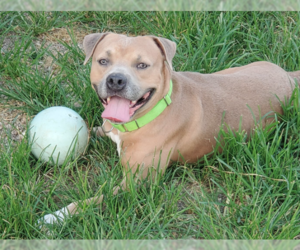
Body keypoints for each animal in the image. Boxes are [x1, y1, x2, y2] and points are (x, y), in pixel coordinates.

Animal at [40, 32, 300, 224]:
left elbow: (93, 200)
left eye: (142, 65)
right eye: (103, 61)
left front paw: (56, 216)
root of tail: (288, 75)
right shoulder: (107, 131)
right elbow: (89, 131)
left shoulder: (138, 183)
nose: (116, 80)